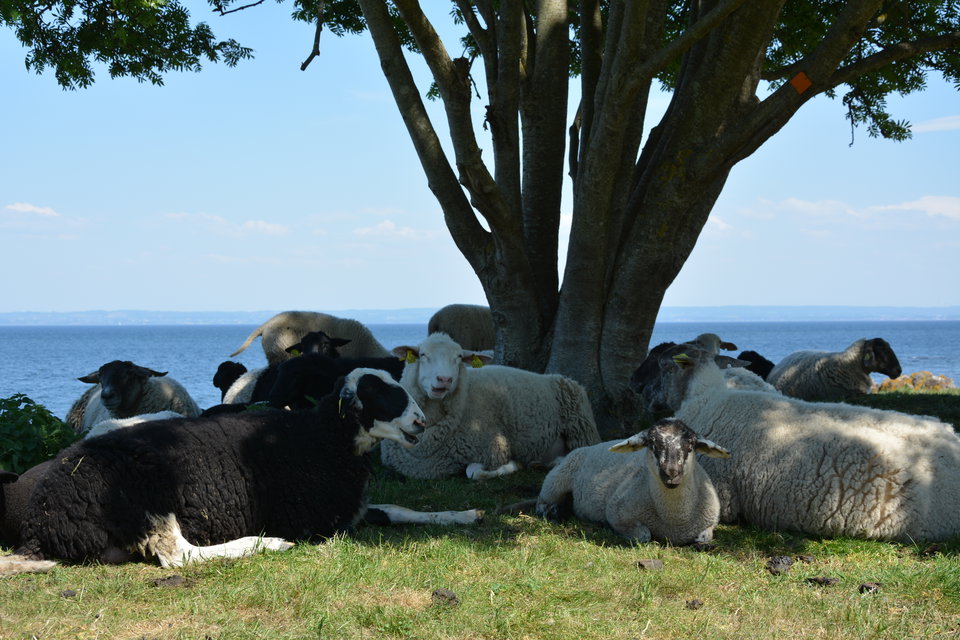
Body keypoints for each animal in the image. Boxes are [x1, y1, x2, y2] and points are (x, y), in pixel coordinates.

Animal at [1, 369, 481, 575]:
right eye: (380, 393)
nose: (421, 422)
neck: (324, 438)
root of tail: (40, 526)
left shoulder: (353, 508)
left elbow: (400, 510)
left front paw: (463, 516)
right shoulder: (319, 522)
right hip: (144, 495)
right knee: (180, 554)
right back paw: (264, 543)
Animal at [380, 332, 601, 480]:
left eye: (459, 357)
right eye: (423, 355)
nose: (444, 379)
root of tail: (560, 377)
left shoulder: (495, 447)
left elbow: (473, 472)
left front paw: (514, 464)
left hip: (581, 429)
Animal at [535, 418, 731, 545]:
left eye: (690, 444)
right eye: (652, 443)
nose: (671, 473)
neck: (675, 521)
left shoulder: (711, 522)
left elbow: (704, 539)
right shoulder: (617, 512)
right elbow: (644, 536)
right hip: (556, 480)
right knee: (542, 502)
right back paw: (553, 511)